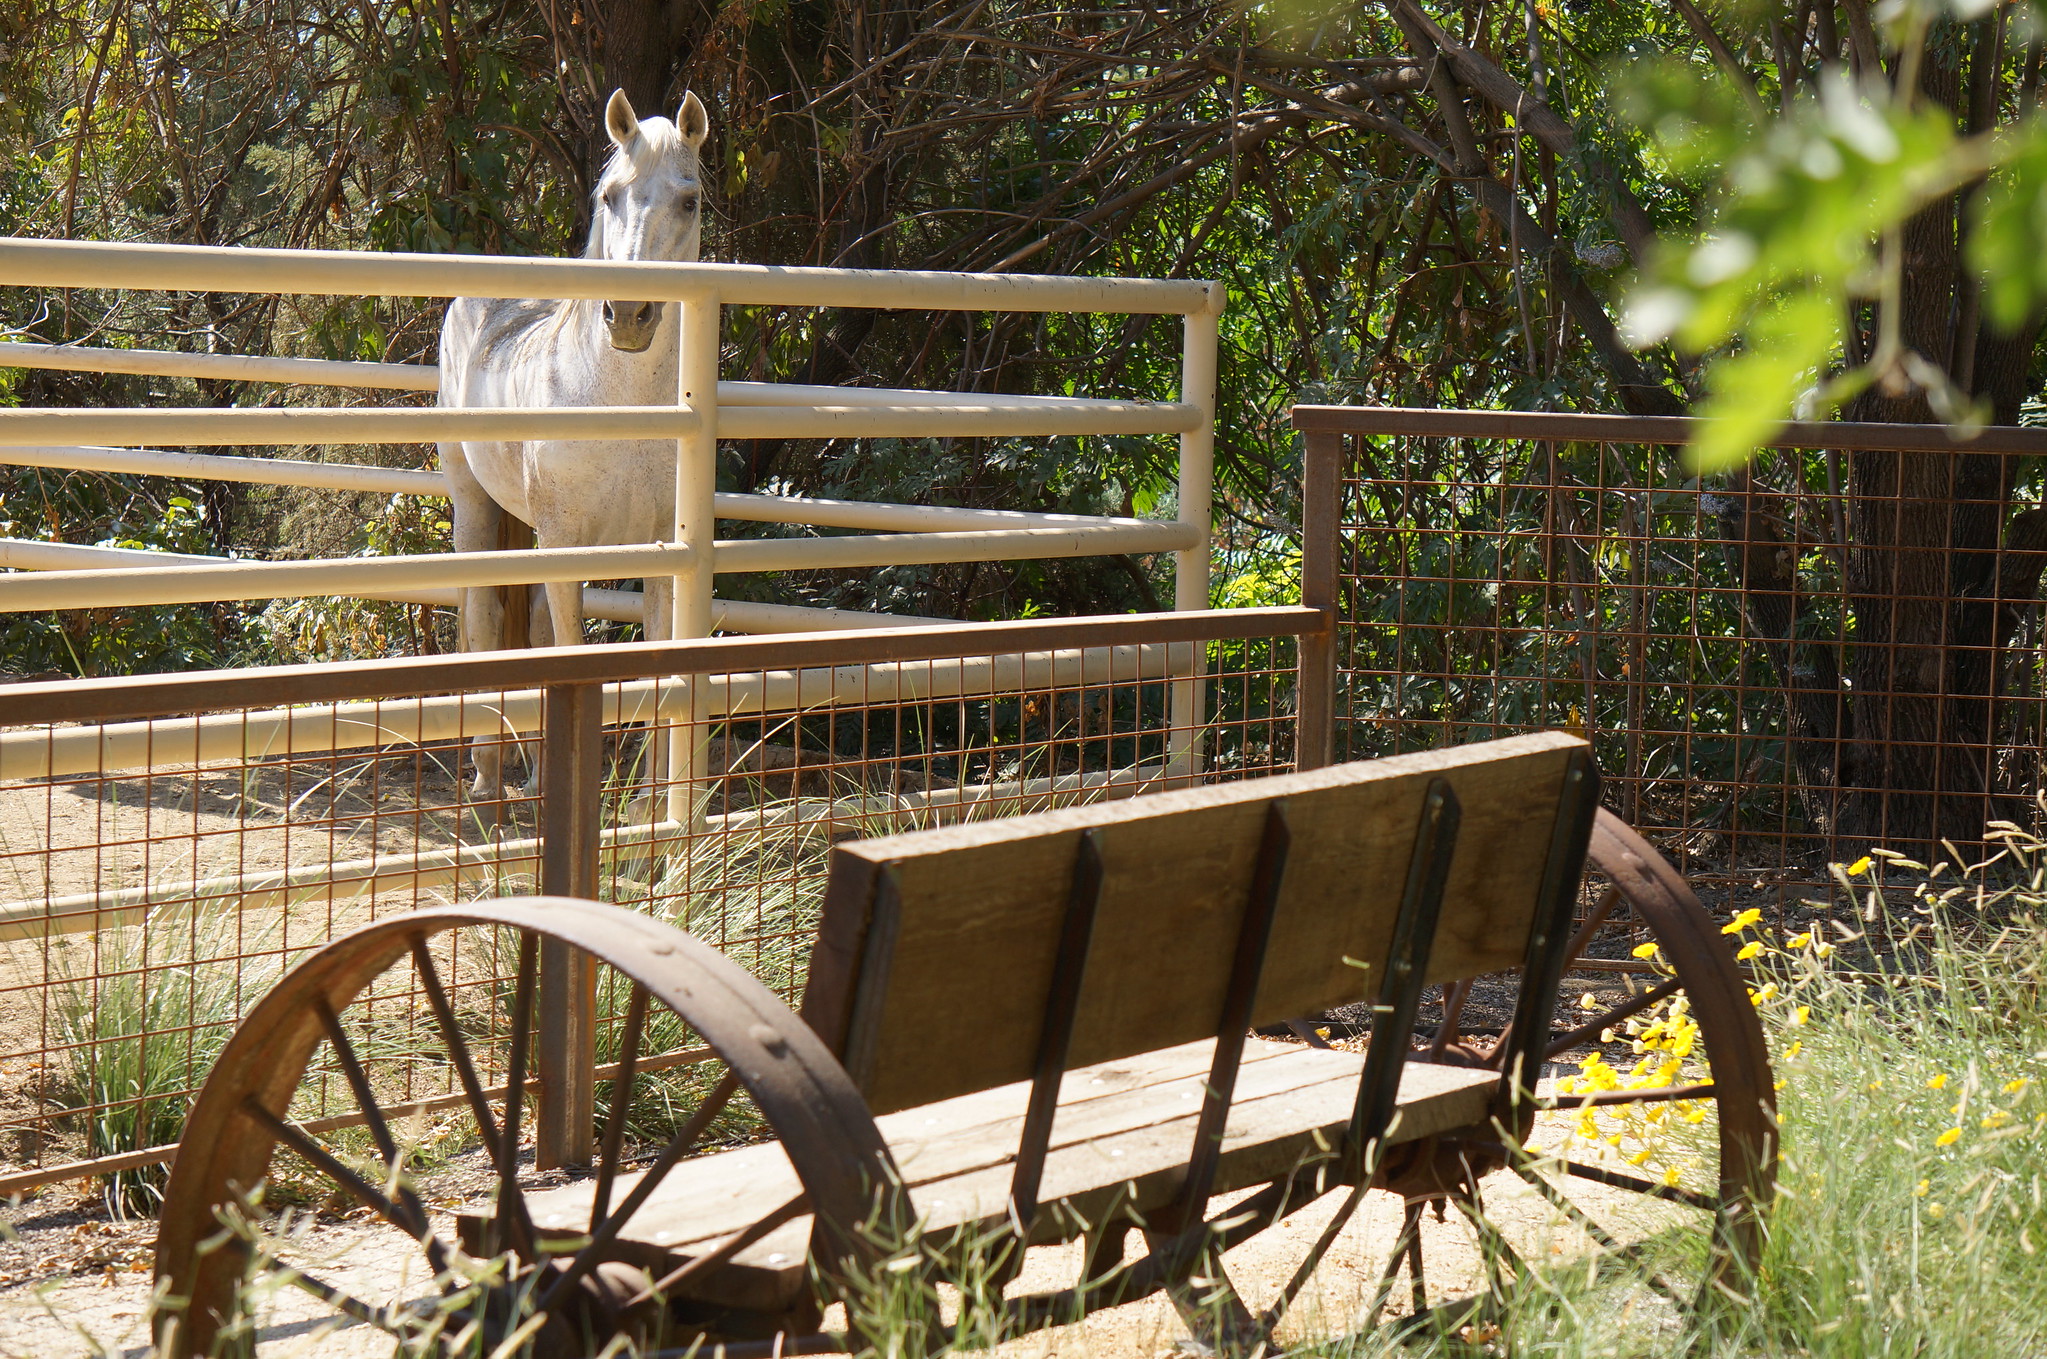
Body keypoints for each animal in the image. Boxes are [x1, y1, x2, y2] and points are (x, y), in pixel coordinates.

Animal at [440, 90, 712, 790]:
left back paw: (533, 774)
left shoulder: (662, 551)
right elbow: (570, 650)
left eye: (689, 200)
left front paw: (651, 805)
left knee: (529, 626)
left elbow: (658, 671)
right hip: (473, 506)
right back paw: (487, 779)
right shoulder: (565, 542)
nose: (629, 315)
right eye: (610, 196)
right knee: (482, 620)